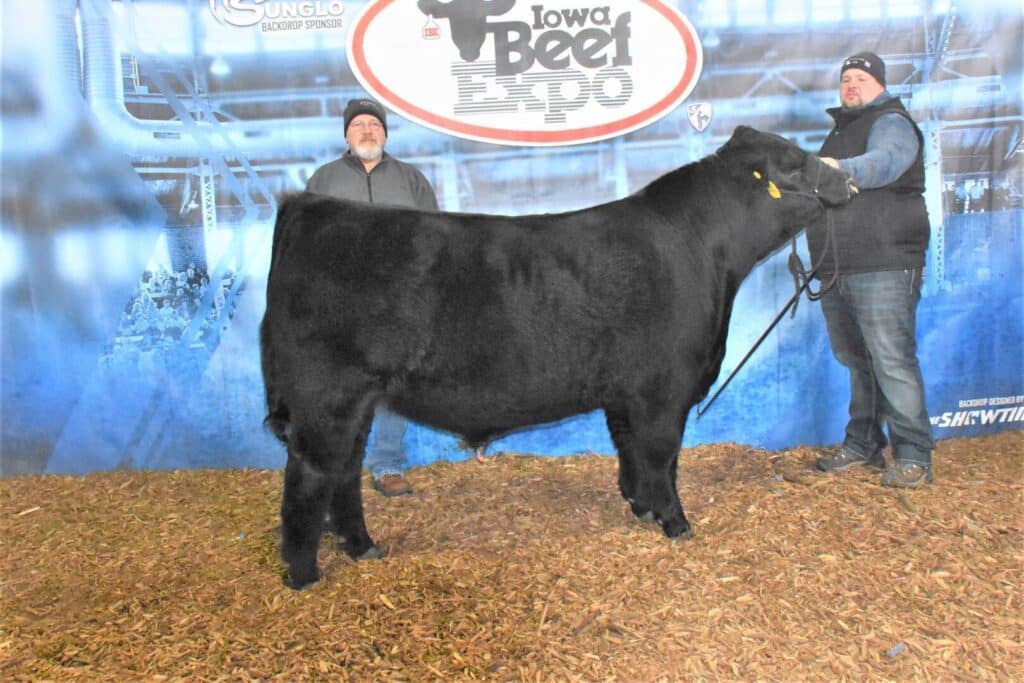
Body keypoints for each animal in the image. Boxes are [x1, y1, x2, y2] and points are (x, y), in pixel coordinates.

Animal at [260, 126, 854, 588]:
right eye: (794, 161)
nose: (847, 179)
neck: (704, 255)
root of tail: (309, 208)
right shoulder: (663, 389)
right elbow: (663, 456)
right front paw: (675, 523)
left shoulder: (626, 394)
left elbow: (631, 453)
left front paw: (640, 507)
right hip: (327, 399)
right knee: (309, 478)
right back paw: (304, 573)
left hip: (354, 402)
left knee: (344, 472)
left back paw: (364, 547)